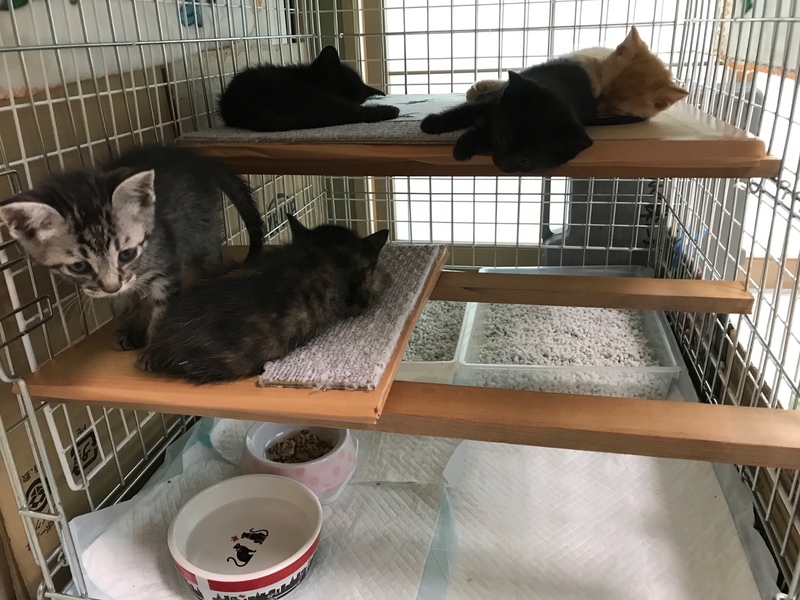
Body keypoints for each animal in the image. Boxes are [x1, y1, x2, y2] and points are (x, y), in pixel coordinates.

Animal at [0, 144, 265, 351]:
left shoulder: (164, 267)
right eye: (79, 266)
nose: (111, 287)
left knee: (209, 255)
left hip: (202, 226)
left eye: (127, 254)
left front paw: (155, 343)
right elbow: (123, 304)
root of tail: (198, 160)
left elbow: (163, 306)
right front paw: (131, 329)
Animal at [421, 60, 595, 173]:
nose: (501, 164)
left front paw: (464, 146)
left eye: (526, 161)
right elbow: (464, 112)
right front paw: (431, 123)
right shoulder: (495, 102)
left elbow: (485, 132)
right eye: (502, 139)